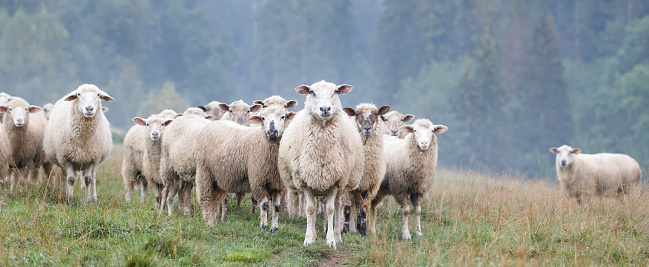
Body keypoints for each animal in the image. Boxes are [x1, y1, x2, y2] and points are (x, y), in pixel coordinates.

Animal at [276, 80, 362, 250]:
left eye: (335, 92)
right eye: (312, 92)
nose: (325, 109)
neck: (322, 152)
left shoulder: (335, 181)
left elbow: (330, 209)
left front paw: (331, 241)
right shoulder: (306, 180)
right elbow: (310, 210)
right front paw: (309, 239)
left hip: (341, 185)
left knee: (338, 206)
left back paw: (337, 236)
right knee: (316, 206)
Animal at [340, 103, 390, 237]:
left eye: (376, 114)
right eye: (357, 114)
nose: (367, 128)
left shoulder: (369, 186)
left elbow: (363, 209)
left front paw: (363, 232)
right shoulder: (348, 186)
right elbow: (347, 208)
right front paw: (345, 231)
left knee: (358, 205)